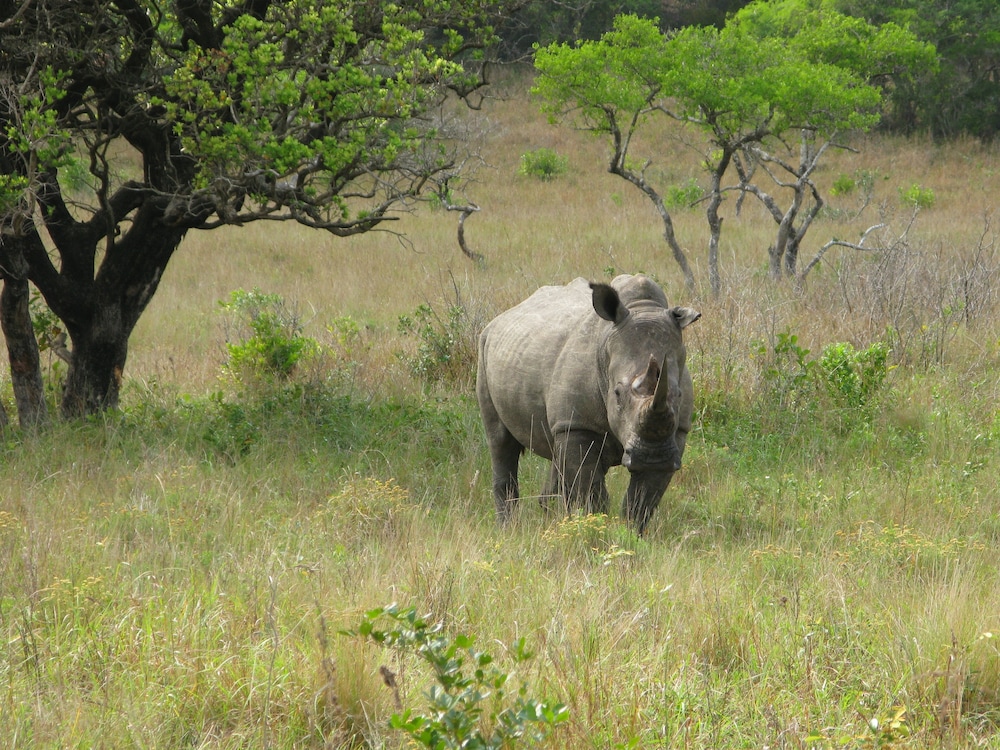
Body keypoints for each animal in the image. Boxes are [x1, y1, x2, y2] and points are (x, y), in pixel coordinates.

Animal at [476, 274, 700, 534]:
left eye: (679, 395)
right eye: (617, 393)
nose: (652, 456)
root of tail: (501, 317)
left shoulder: (676, 432)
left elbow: (640, 502)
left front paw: (630, 536)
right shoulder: (579, 425)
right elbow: (590, 494)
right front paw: (595, 529)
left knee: (556, 452)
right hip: (484, 349)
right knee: (500, 442)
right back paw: (508, 530)